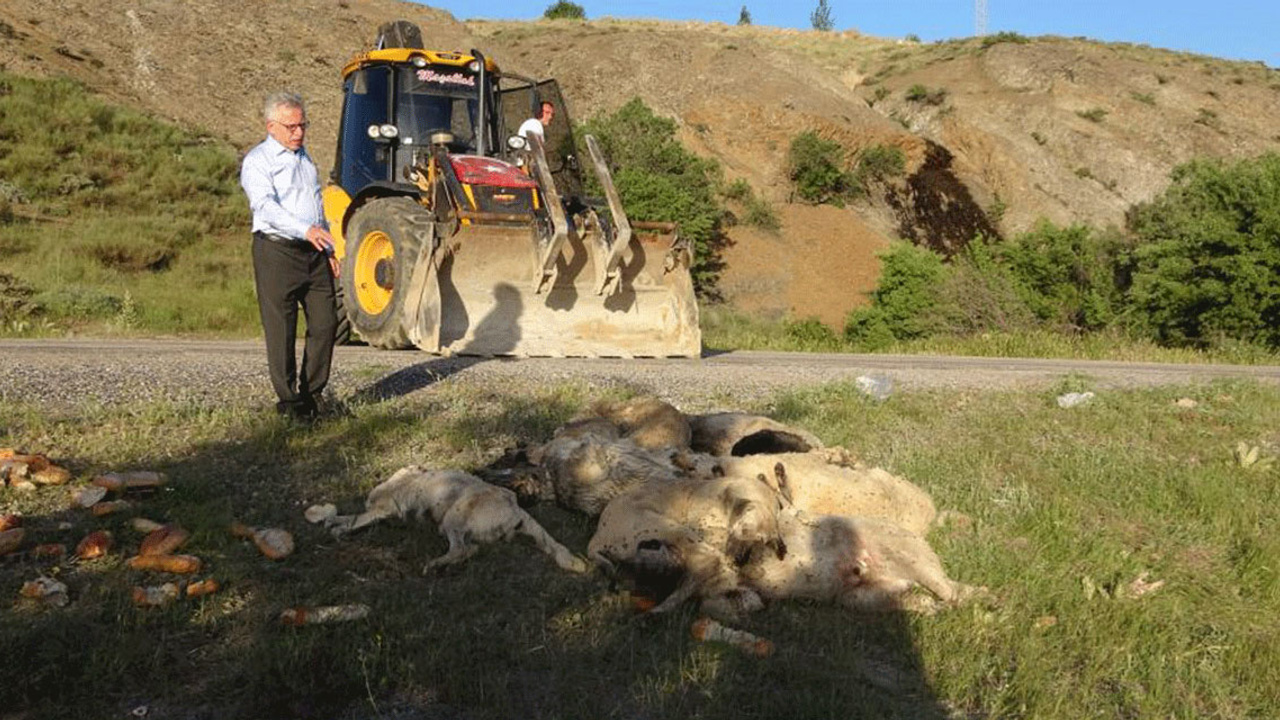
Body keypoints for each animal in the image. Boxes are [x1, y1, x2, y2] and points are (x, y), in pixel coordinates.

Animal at [322, 466, 586, 571]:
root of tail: (516, 508)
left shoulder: (382, 509)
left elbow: (352, 520)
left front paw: (336, 528)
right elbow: (345, 518)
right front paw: (331, 523)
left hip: (451, 519)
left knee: (462, 549)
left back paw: (434, 565)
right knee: (471, 549)